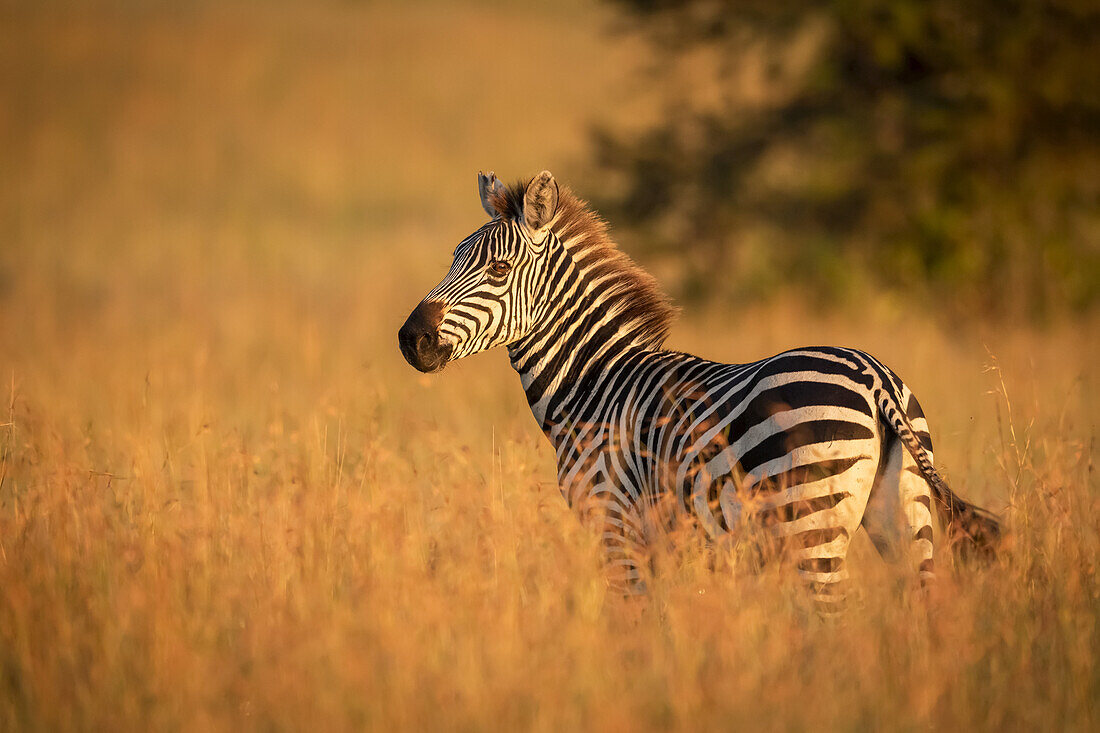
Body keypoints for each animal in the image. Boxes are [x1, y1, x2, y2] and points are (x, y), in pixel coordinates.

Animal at [400, 169, 1003, 603]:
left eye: (498, 271)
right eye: (454, 259)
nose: (410, 339)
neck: (595, 382)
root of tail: (872, 376)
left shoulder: (617, 525)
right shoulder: (666, 542)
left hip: (811, 526)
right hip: (905, 518)